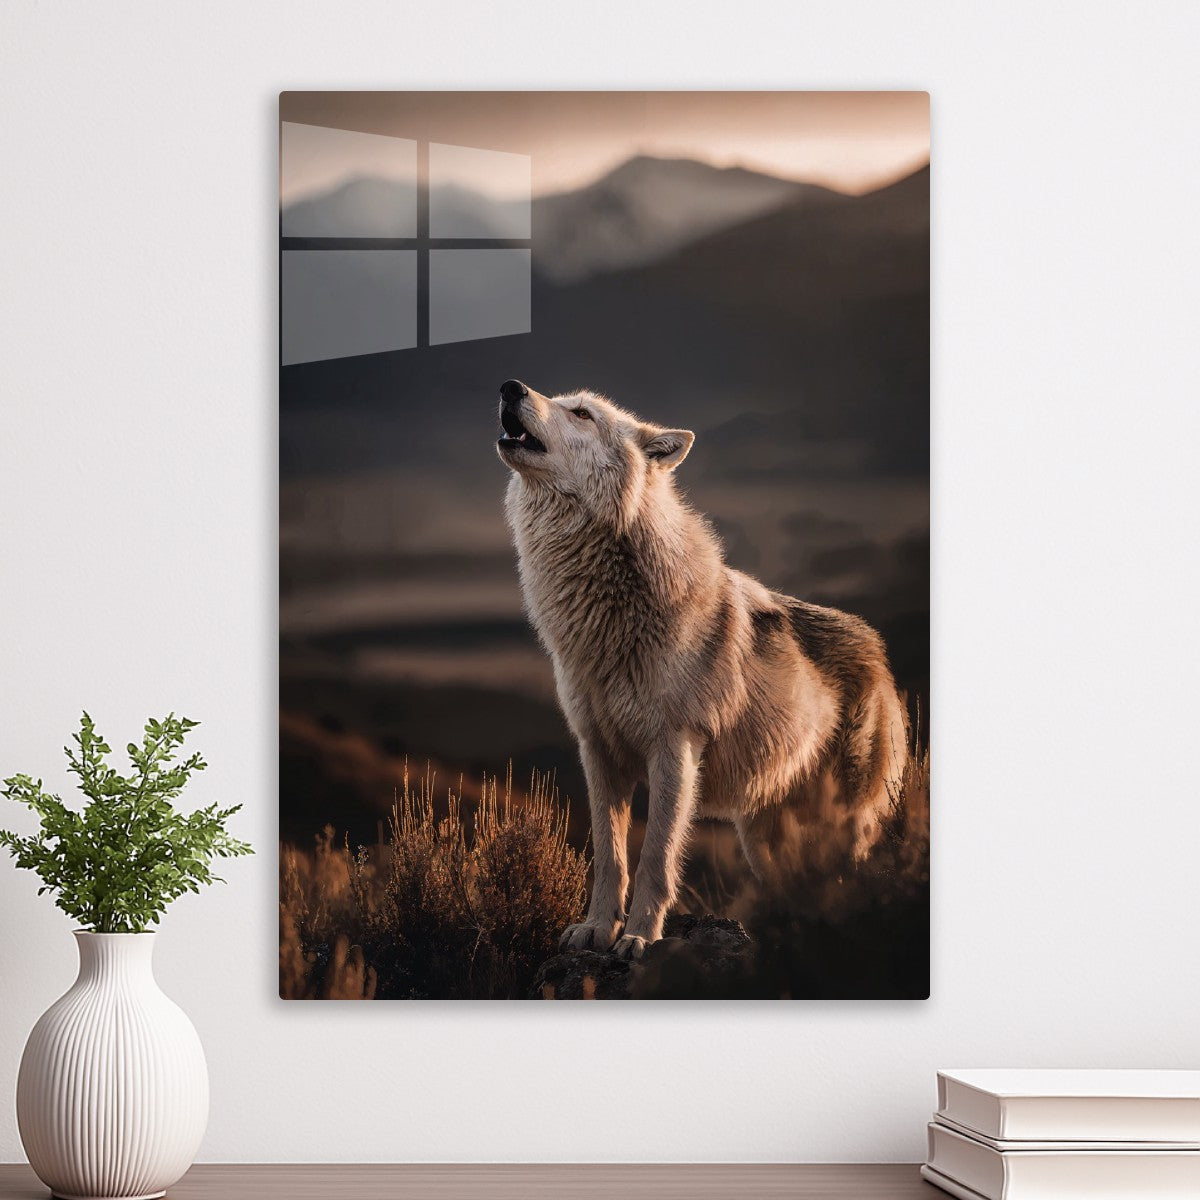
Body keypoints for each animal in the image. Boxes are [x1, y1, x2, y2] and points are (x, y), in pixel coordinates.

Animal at [496, 379, 909, 961]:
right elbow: (609, 855)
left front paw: (639, 938)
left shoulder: (675, 749)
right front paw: (597, 930)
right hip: (763, 841)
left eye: (581, 413)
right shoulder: (597, 751)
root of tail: (878, 649)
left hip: (848, 826)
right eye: (559, 399)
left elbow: (656, 856)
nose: (510, 387)